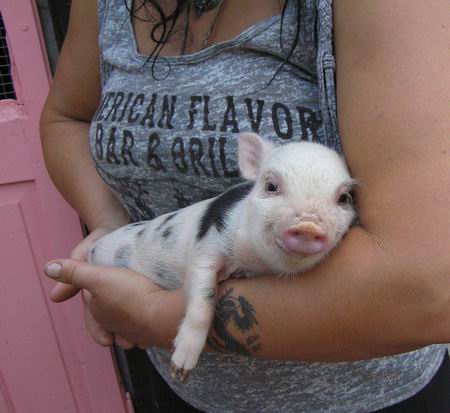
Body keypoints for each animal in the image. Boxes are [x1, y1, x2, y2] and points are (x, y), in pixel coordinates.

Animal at [88, 132, 357, 382]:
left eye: (343, 198)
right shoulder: (205, 248)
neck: (257, 261)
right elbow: (203, 298)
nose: (308, 225)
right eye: (271, 186)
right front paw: (180, 370)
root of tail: (93, 250)